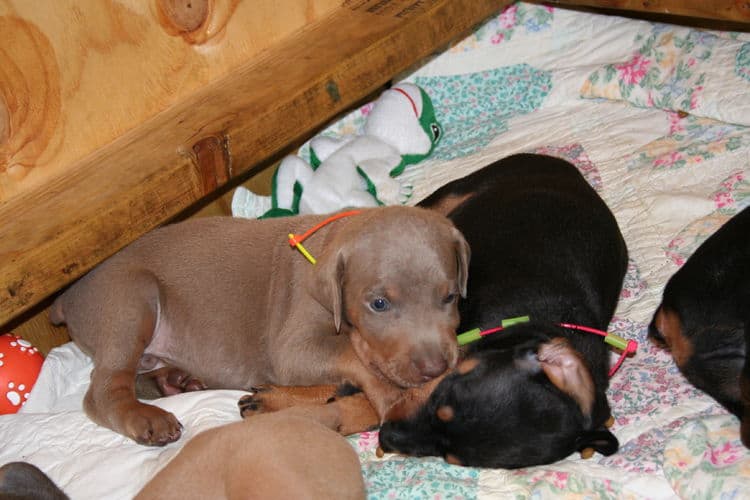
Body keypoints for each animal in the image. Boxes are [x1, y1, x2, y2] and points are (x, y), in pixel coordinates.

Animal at [50, 206, 468, 446]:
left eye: (450, 297)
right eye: (378, 304)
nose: (435, 368)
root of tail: (67, 295)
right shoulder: (294, 341)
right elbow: (350, 352)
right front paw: (392, 396)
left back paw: (174, 381)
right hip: (129, 298)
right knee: (105, 388)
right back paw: (147, 417)